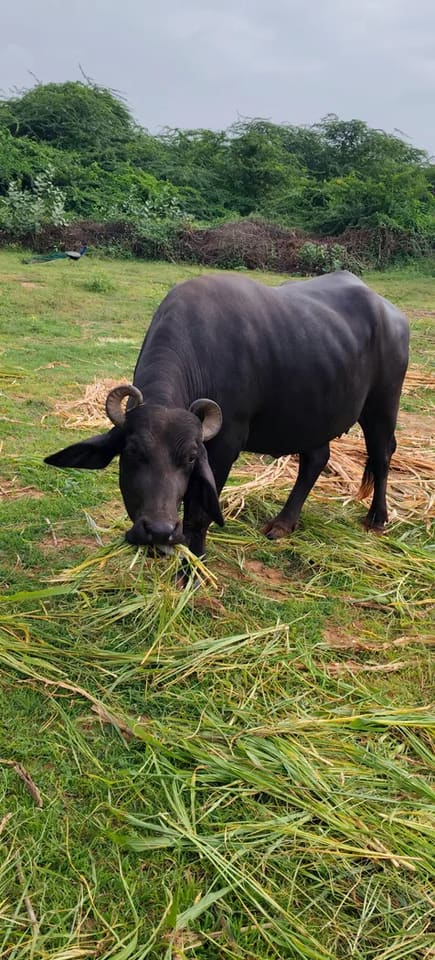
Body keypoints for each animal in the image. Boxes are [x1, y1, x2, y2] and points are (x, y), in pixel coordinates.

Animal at [45, 271, 409, 561]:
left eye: (191, 458)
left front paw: (193, 564)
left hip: (382, 405)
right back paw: (283, 523)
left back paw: (377, 518)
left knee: (381, 455)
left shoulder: (225, 445)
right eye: (132, 452)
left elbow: (199, 513)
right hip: (314, 416)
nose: (159, 530)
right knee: (316, 459)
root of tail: (393, 315)